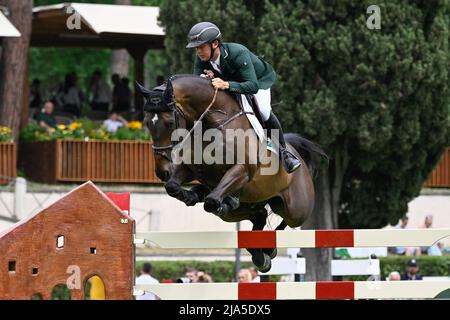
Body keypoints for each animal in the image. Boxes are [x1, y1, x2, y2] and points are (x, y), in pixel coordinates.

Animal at [137, 75, 326, 272]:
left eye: (170, 123)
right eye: (147, 123)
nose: (162, 170)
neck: (211, 124)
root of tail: (299, 157)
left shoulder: (242, 171)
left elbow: (212, 201)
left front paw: (218, 201)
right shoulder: (190, 169)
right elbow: (173, 186)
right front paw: (190, 195)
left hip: (296, 209)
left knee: (286, 222)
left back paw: (268, 248)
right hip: (247, 208)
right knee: (259, 217)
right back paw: (259, 253)